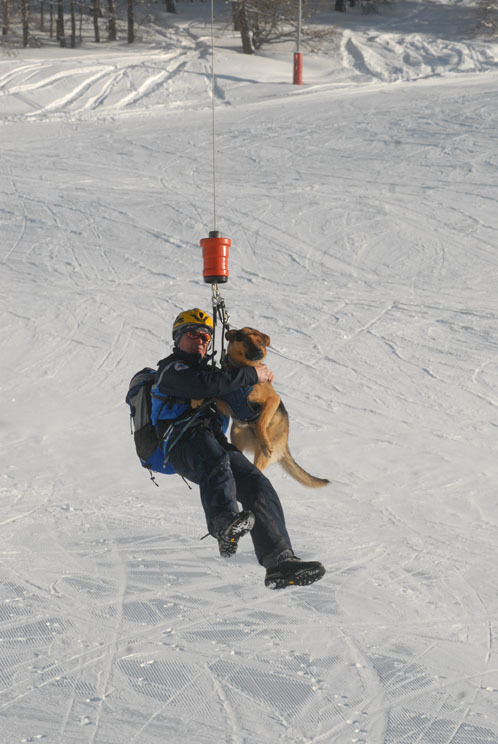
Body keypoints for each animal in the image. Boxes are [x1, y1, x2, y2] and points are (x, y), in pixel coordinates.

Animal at [215, 326, 328, 488]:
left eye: (261, 343)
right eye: (247, 341)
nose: (260, 352)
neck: (243, 370)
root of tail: (285, 443)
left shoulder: (273, 400)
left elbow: (261, 422)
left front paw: (264, 442)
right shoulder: (226, 401)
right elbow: (218, 399)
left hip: (262, 454)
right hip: (238, 438)